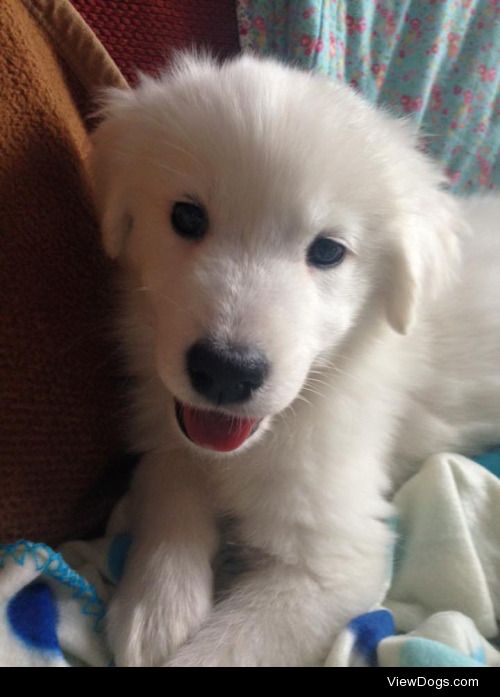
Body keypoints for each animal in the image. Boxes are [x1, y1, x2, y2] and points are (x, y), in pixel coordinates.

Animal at [92, 53, 500, 664]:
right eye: (187, 218)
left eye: (328, 251)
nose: (225, 372)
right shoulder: (168, 429)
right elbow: (167, 475)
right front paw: (157, 604)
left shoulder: (336, 562)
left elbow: (225, 650)